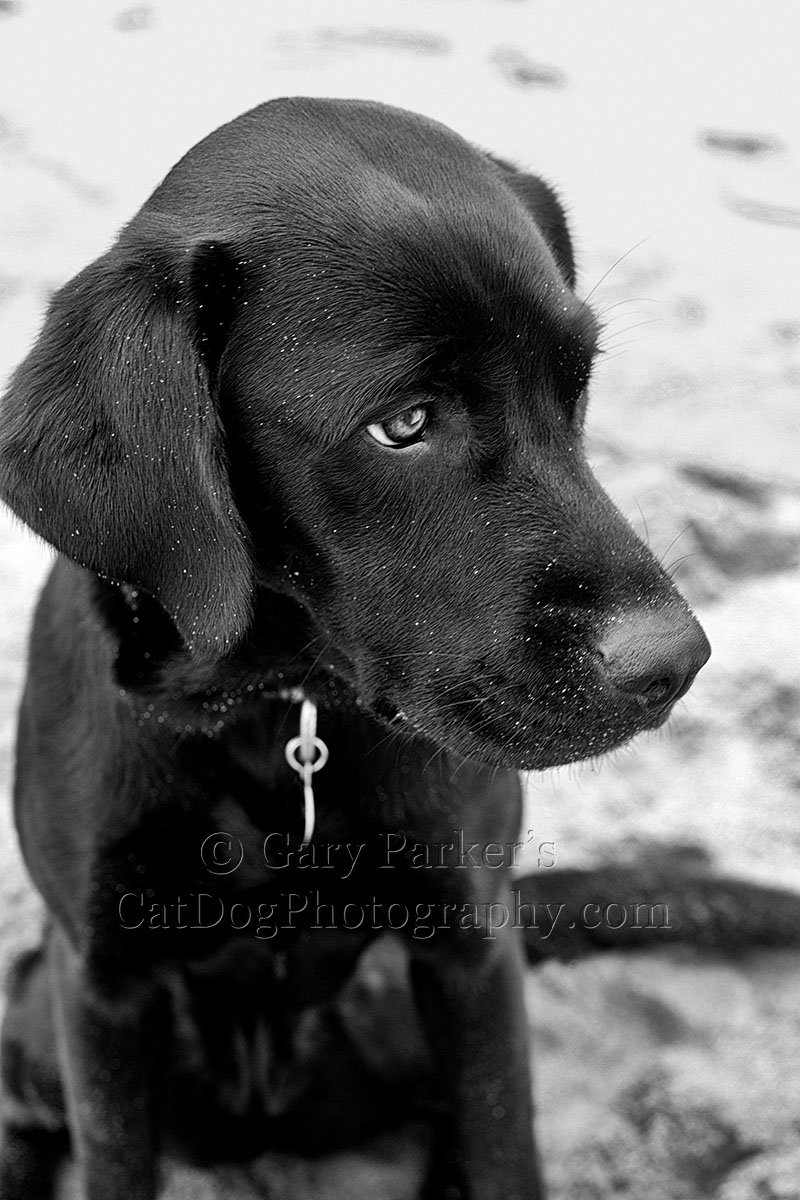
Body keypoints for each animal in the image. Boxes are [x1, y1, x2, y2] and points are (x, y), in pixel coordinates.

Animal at [0, 100, 714, 1200]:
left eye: (576, 386)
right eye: (403, 424)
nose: (671, 664)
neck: (275, 711)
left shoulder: (470, 947)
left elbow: (502, 1142)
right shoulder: (101, 981)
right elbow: (112, 1157)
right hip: (39, 999)